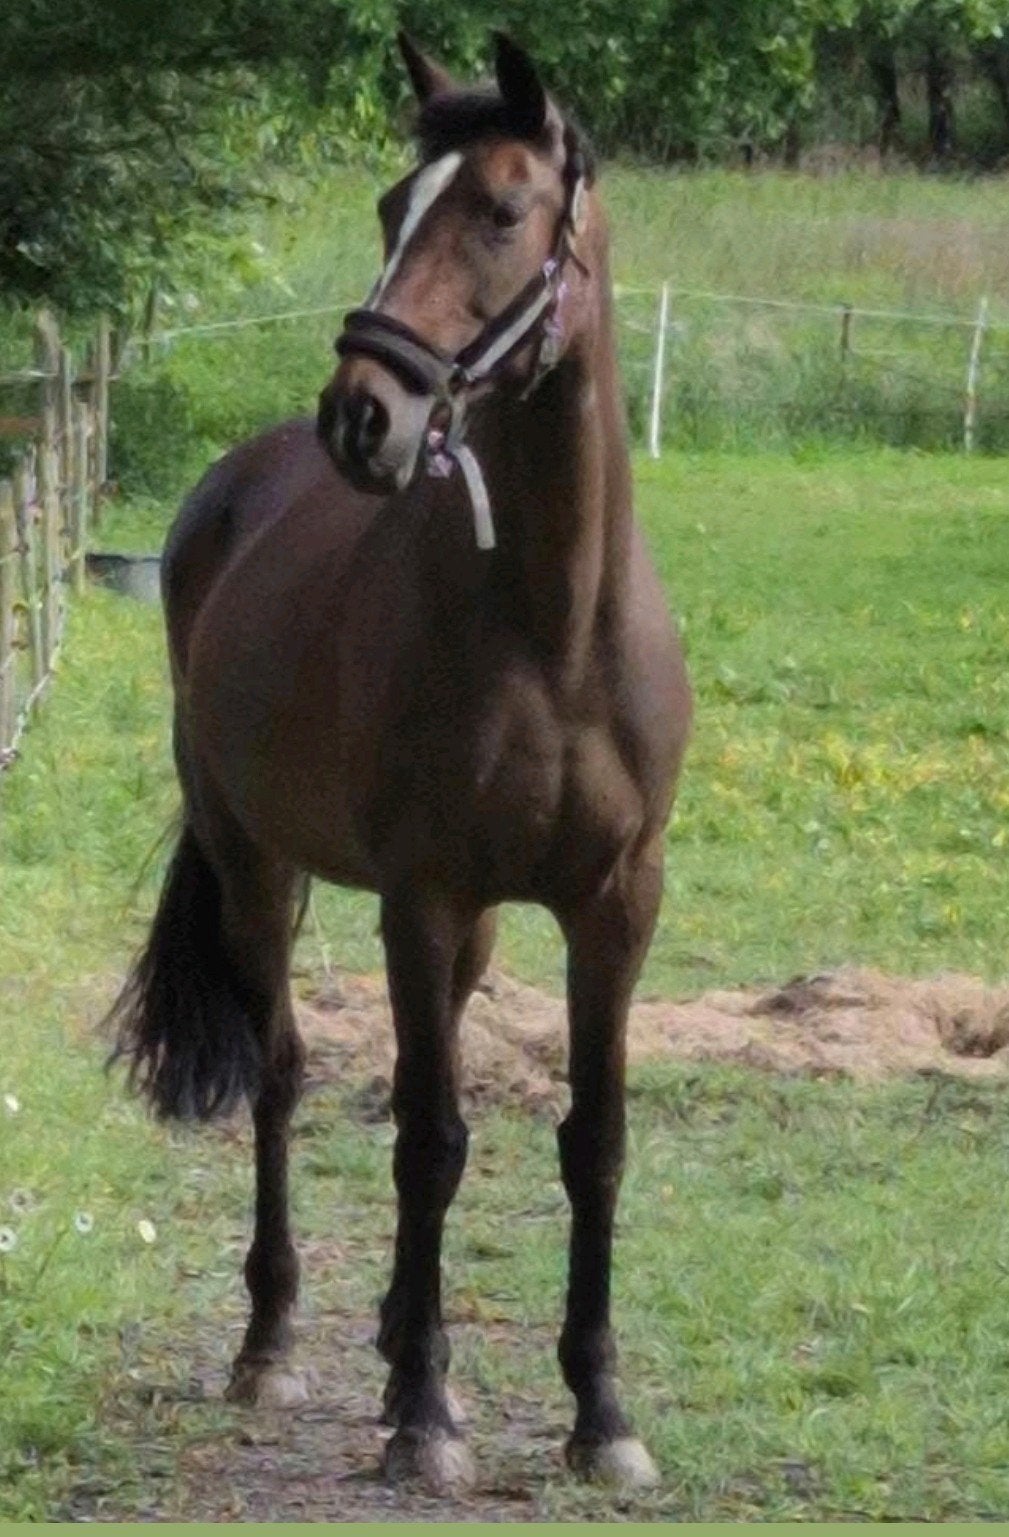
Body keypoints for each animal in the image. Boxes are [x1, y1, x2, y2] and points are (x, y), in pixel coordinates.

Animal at [110, 31, 692, 1494]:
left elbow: (594, 1142)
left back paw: (383, 1333)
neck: (555, 627)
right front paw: (423, 1416)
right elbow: (428, 1140)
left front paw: (600, 1413)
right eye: (389, 210)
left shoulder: (617, 904)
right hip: (260, 871)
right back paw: (277, 1342)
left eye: (501, 210)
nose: (360, 417)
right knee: (282, 1078)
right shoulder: (419, 900)